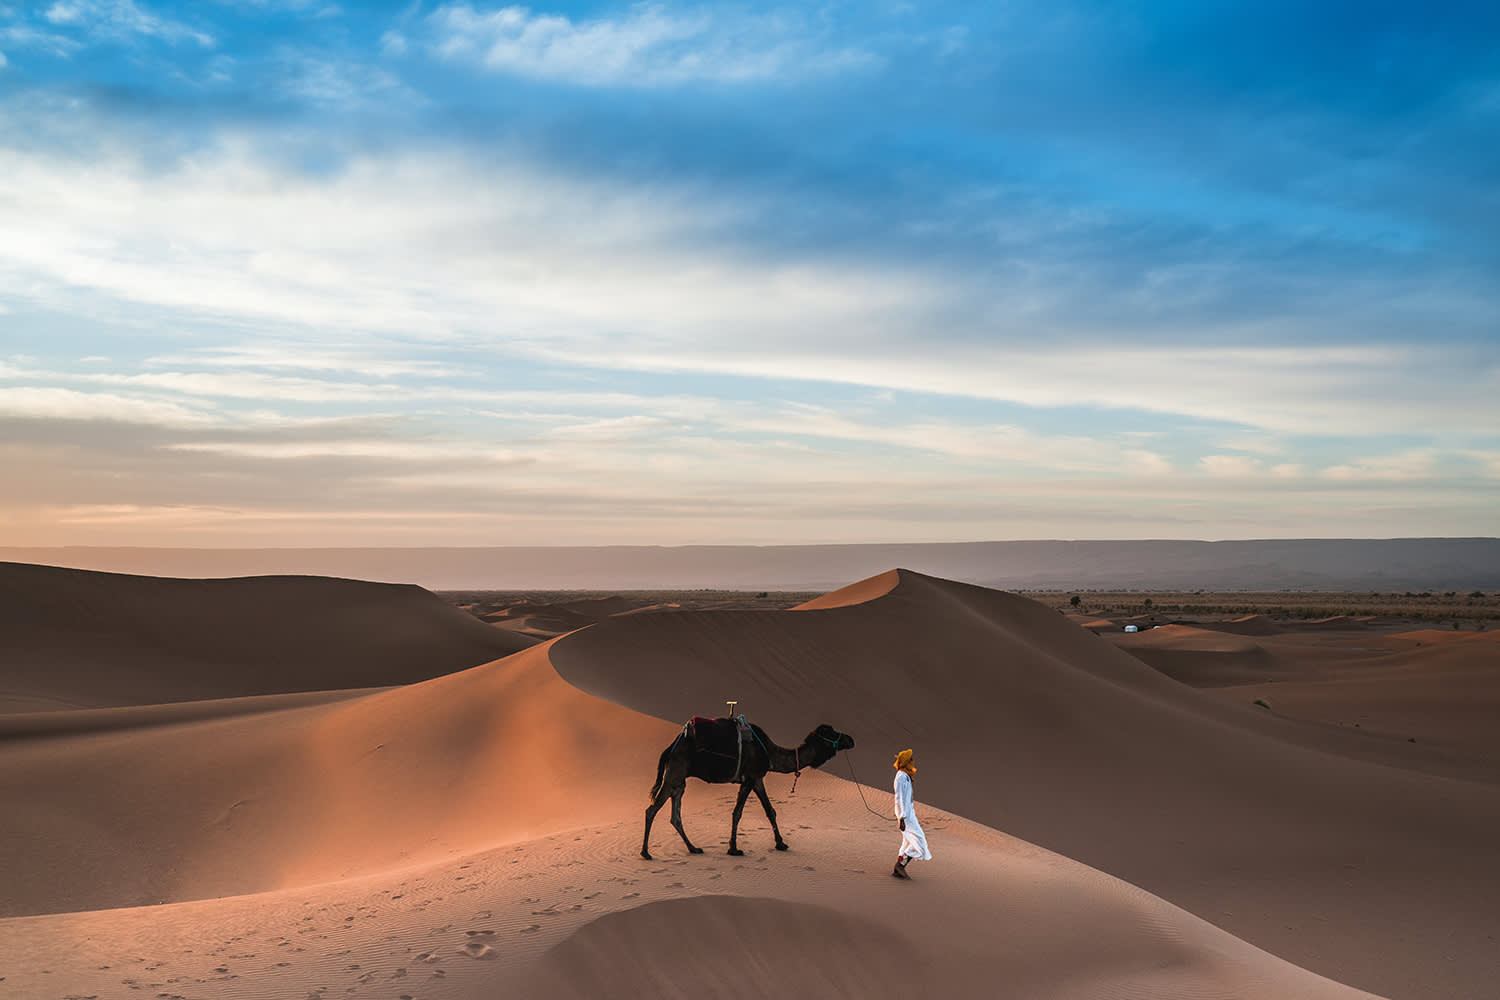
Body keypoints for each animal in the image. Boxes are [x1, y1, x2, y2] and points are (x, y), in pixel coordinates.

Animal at [642, 719, 858, 863]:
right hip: (674, 774)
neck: (770, 753)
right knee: (651, 810)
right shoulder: (752, 777)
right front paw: (735, 849)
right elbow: (738, 812)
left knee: (675, 816)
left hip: (680, 782)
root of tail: (671, 747)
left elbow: (770, 811)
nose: (851, 739)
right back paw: (645, 853)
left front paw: (780, 844)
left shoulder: (757, 779)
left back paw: (693, 848)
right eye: (831, 733)